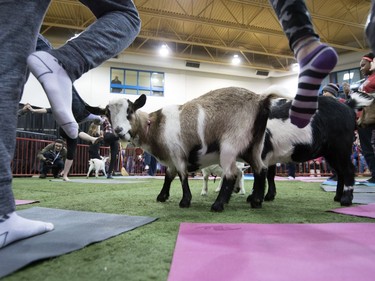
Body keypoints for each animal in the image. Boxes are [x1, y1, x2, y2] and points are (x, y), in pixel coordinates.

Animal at [101, 87, 280, 210]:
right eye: (107, 114)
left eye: (130, 111)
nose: (119, 131)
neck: (156, 126)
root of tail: (260, 100)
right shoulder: (171, 159)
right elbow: (168, 176)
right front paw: (162, 196)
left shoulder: (178, 153)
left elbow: (182, 176)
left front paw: (185, 201)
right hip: (253, 146)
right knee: (260, 170)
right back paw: (256, 201)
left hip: (230, 145)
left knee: (232, 174)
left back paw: (218, 205)